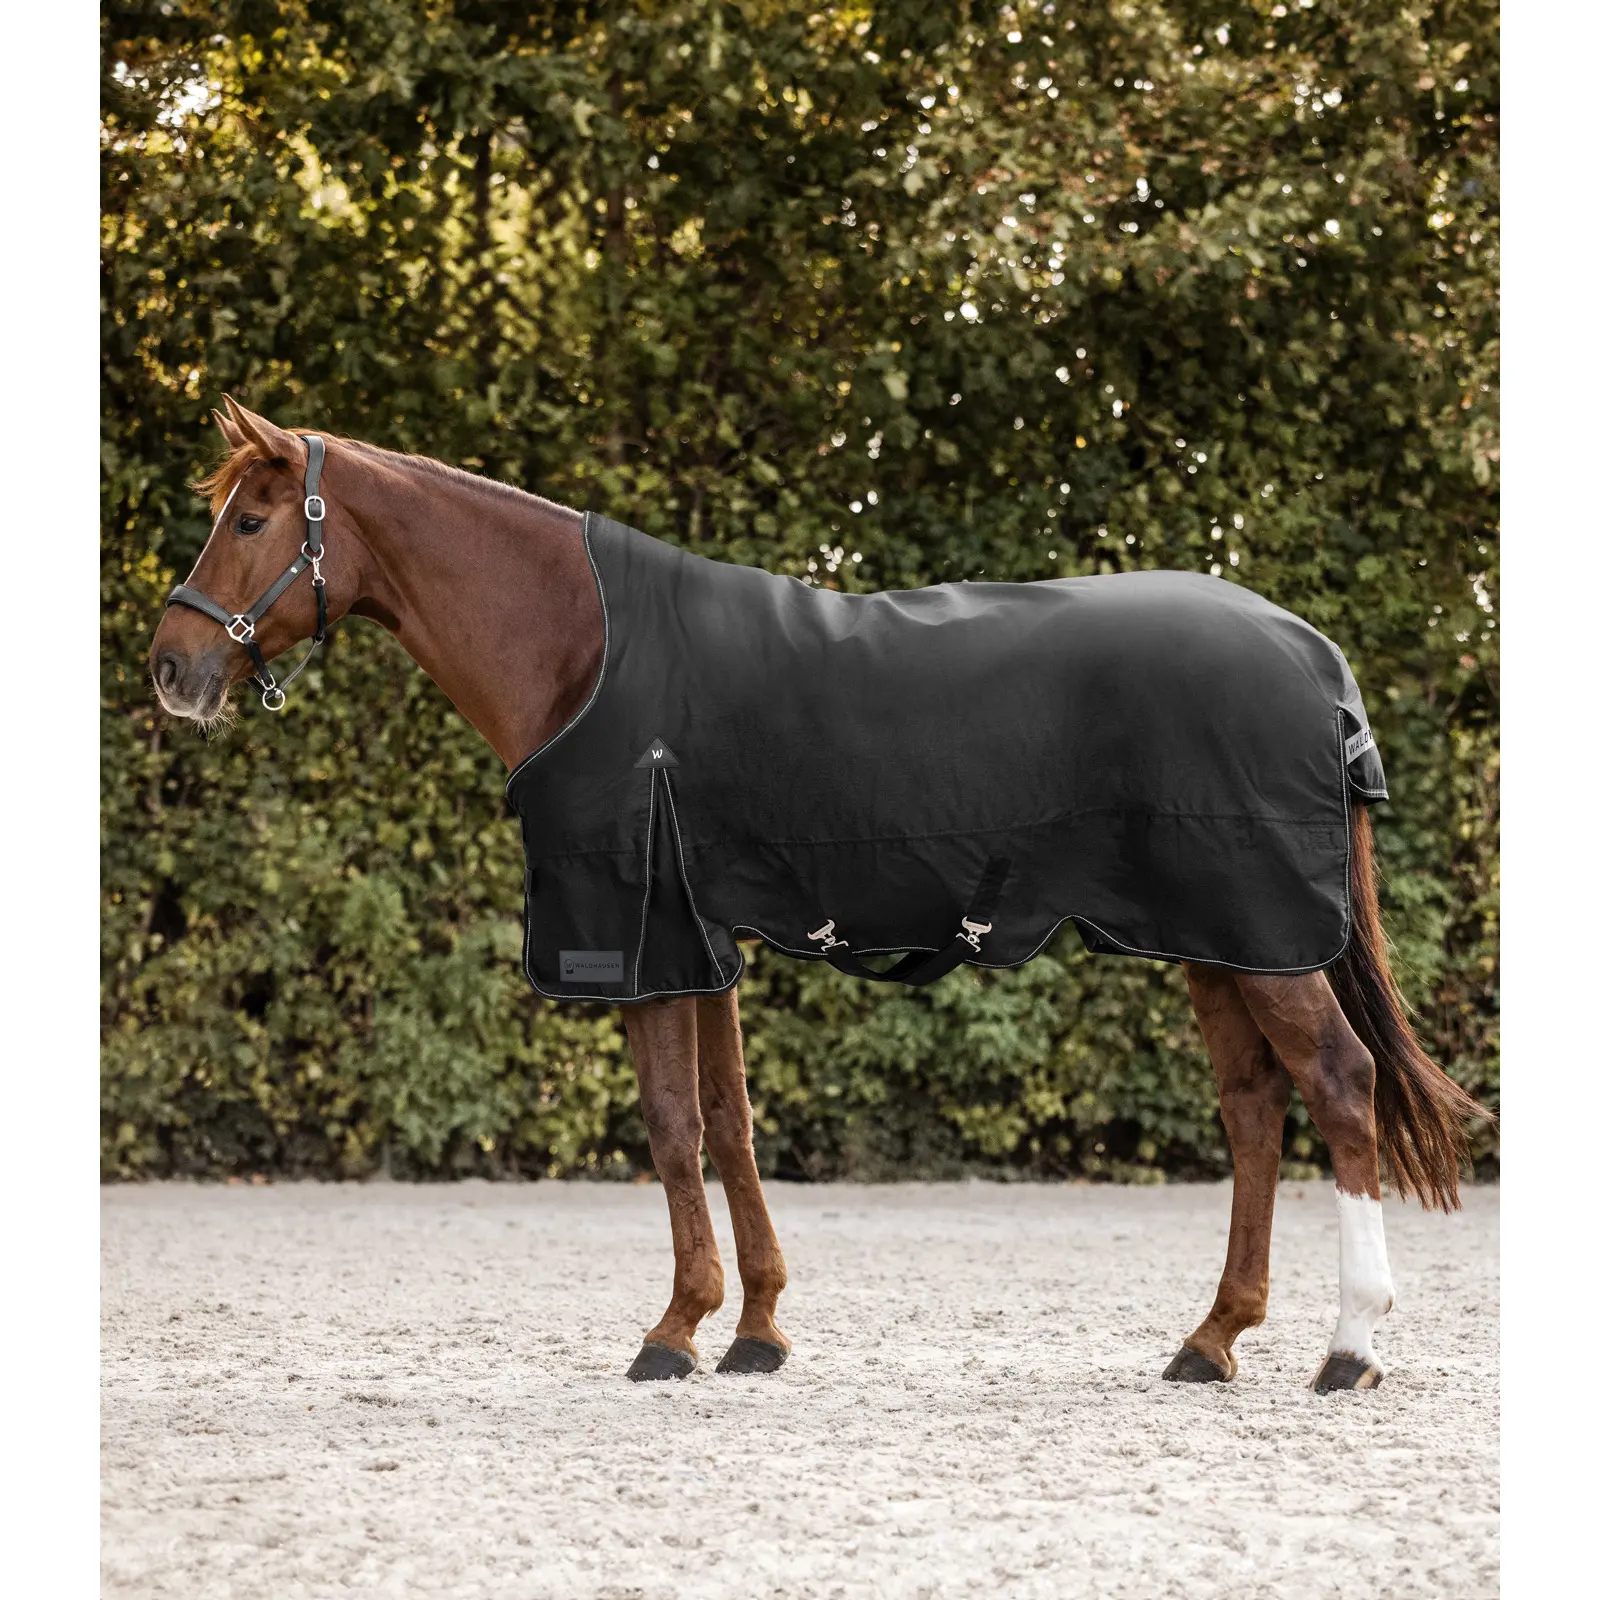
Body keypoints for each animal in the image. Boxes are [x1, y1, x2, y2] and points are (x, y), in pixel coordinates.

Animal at [147, 398, 1487, 1392]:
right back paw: (1210, 1340)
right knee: (1254, 1110)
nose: (172, 668)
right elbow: (730, 1123)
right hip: (1217, 942)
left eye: (252, 518)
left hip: (1265, 941)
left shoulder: (644, 938)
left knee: (1340, 1087)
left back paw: (1347, 1347)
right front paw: (753, 1329)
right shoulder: (705, 942)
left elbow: (672, 1127)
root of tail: (1312, 654)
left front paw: (672, 1330)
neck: (587, 652)